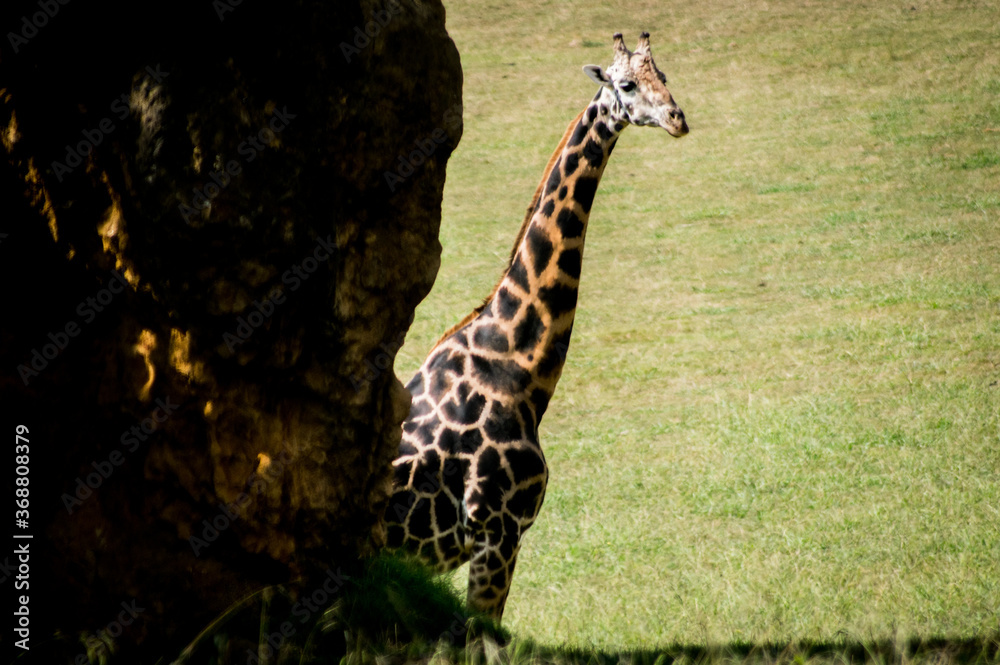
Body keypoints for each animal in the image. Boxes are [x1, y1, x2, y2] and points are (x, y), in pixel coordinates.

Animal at [386, 32, 688, 620]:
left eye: (662, 74)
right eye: (626, 84)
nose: (676, 118)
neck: (519, 367)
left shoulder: (496, 540)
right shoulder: (498, 532)